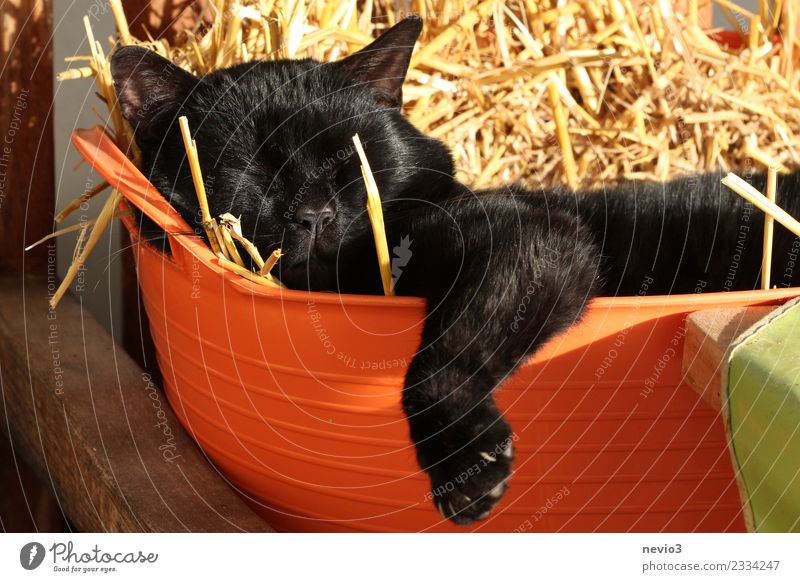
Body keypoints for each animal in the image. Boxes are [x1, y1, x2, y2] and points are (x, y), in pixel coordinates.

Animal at [108, 17, 800, 528]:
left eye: (347, 157)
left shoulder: (534, 237)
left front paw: (468, 466)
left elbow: (434, 365)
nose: (313, 215)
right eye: (246, 168)